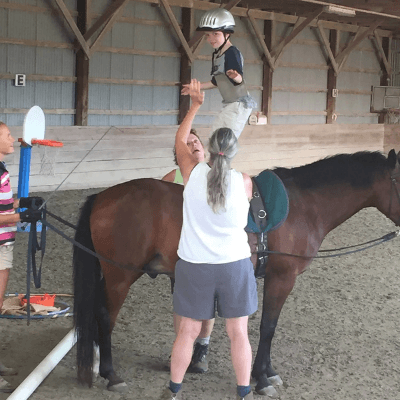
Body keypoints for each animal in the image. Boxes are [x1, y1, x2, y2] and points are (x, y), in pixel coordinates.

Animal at [72, 148, 400, 396]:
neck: (304, 206)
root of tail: (102, 197)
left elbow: (269, 325)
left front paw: (267, 371)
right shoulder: (282, 278)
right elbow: (268, 326)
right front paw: (262, 378)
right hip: (119, 276)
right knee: (105, 316)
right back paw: (111, 374)